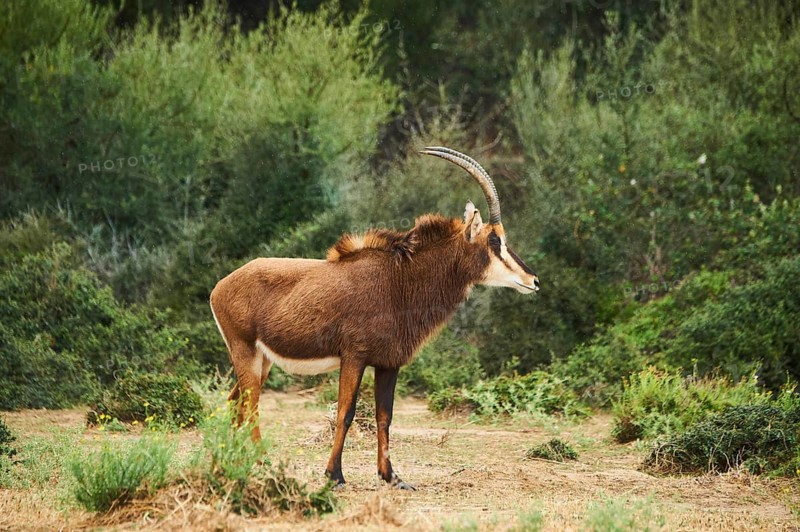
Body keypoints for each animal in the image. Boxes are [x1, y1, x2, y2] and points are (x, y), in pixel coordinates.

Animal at [210, 147, 539, 490]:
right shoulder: (354, 357)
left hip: (263, 362)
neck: (400, 281)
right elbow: (345, 412)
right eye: (494, 240)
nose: (533, 280)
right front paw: (334, 475)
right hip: (246, 352)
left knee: (235, 402)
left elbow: (385, 416)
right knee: (250, 406)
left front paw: (391, 476)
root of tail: (221, 286)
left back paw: (234, 462)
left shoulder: (389, 364)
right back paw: (261, 463)